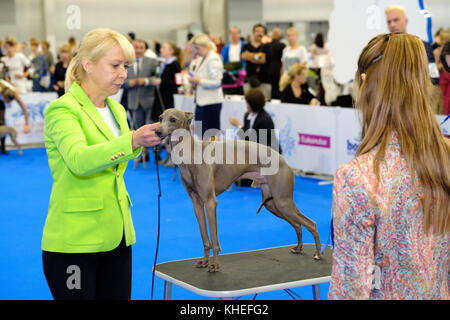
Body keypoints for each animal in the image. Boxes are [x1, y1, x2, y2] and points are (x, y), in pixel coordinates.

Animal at [155, 109, 320, 272]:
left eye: (173, 119)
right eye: (160, 118)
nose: (157, 131)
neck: (191, 153)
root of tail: (284, 160)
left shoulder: (210, 202)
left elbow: (214, 239)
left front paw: (215, 265)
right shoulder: (197, 204)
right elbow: (205, 238)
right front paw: (204, 261)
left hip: (283, 202)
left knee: (311, 223)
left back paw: (318, 253)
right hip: (272, 204)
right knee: (298, 225)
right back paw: (298, 248)